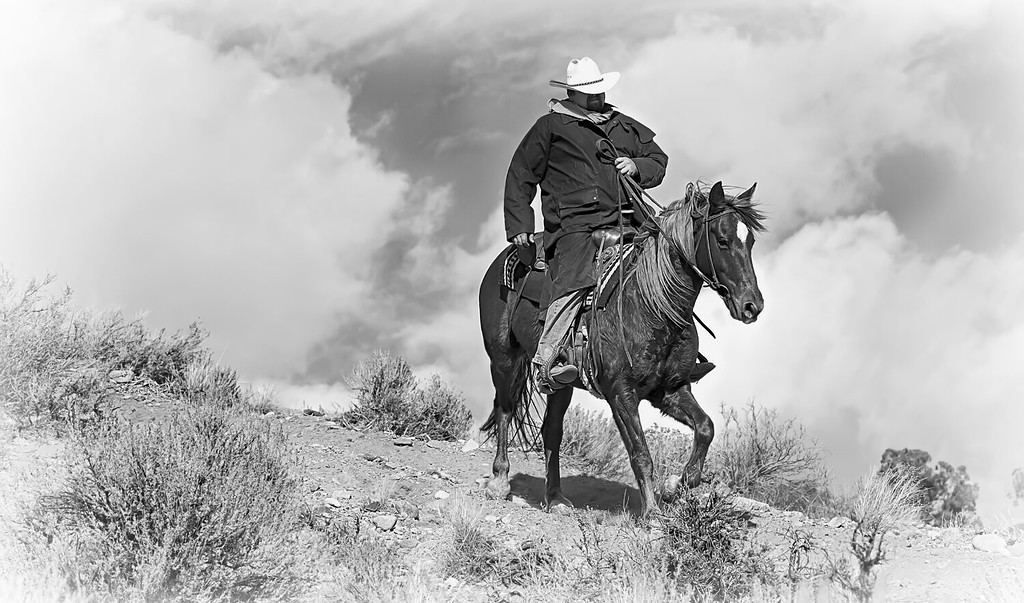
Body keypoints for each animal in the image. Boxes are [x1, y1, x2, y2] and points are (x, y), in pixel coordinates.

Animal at [475, 180, 765, 518]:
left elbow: (706, 427)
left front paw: (677, 486)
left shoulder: (669, 390)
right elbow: (641, 454)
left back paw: (556, 497)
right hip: (503, 359)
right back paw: (499, 480)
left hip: (560, 382)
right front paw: (652, 513)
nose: (752, 305)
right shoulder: (620, 393)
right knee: (505, 410)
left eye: (751, 240)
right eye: (722, 240)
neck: (653, 305)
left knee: (551, 430)